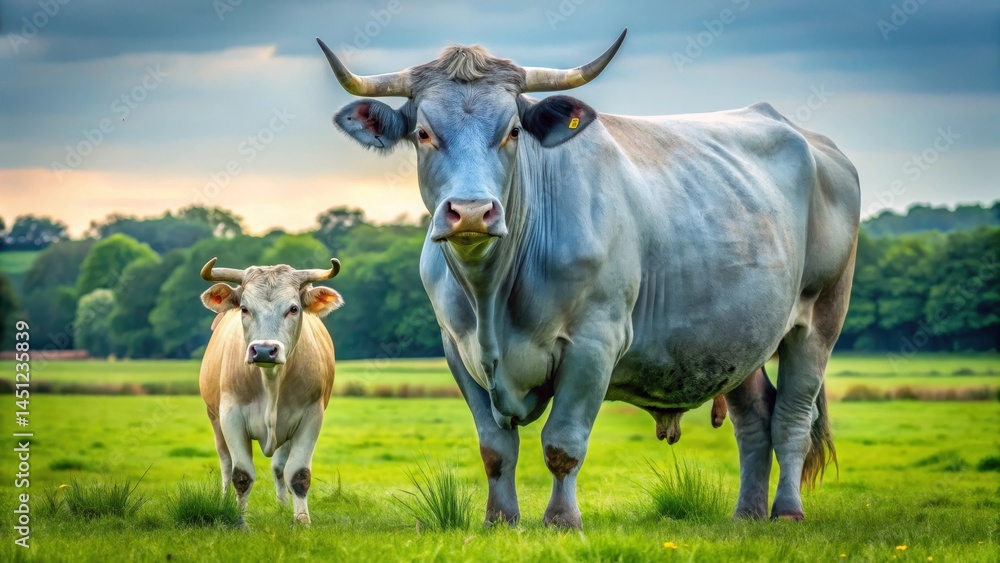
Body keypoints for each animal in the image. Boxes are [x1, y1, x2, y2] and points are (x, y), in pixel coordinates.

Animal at [198, 257, 343, 527]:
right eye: (244, 309)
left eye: (293, 308)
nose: (265, 350)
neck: (270, 382)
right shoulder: (230, 416)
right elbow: (241, 475)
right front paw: (239, 520)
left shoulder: (311, 416)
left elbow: (298, 474)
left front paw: (301, 520)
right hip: (214, 418)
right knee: (226, 464)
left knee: (280, 467)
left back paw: (282, 505)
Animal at [317, 28, 859, 528]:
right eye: (424, 133)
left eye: (513, 131)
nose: (471, 212)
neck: (490, 294)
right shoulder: (458, 350)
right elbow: (495, 449)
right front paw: (500, 519)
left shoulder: (594, 343)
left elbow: (563, 444)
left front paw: (562, 520)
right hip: (738, 339)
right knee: (755, 420)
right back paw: (746, 514)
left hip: (819, 319)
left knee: (792, 418)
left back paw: (787, 512)